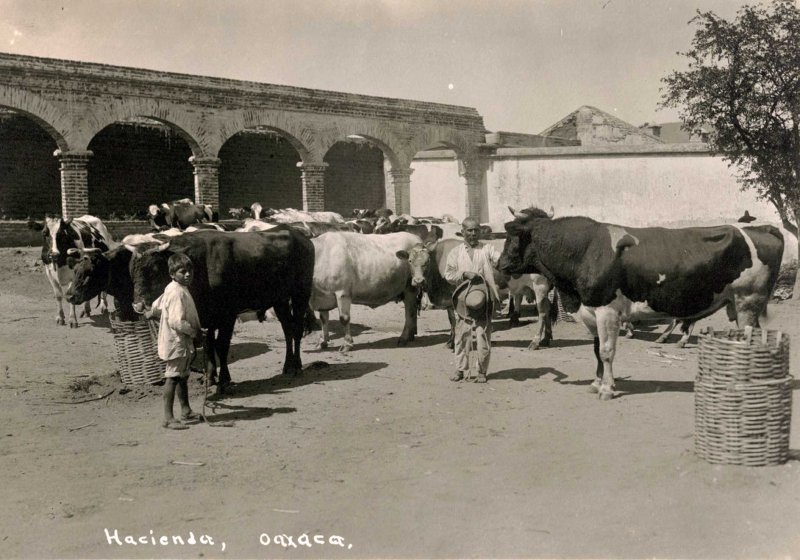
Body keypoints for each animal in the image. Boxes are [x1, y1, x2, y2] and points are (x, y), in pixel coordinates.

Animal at [500, 208, 780, 400]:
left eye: (512, 236)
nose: (499, 264)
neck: (585, 251)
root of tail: (763, 228)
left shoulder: (607, 310)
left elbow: (607, 351)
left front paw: (607, 389)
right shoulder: (590, 311)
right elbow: (596, 350)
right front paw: (596, 383)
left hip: (747, 301)